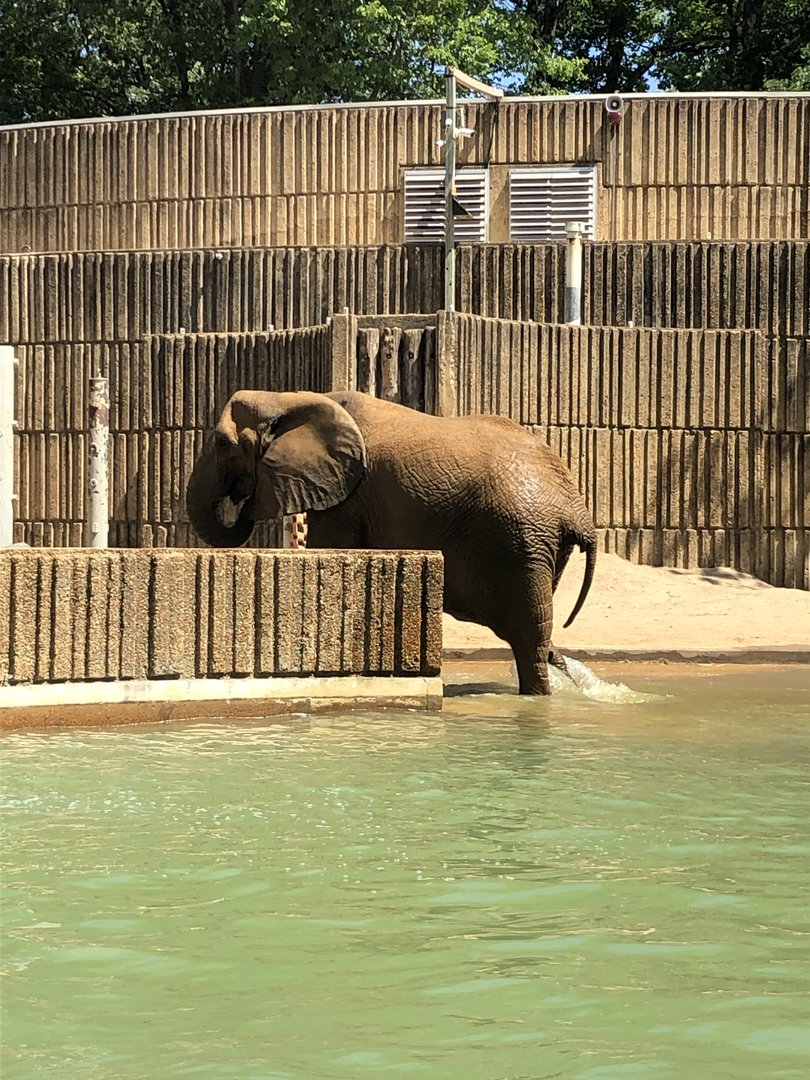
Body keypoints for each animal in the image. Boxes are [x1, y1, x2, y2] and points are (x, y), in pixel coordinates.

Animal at [186, 390, 597, 695]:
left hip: (520, 543)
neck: (288, 399)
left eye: (222, 444)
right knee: (539, 637)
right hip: (537, 549)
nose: (240, 498)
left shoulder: (347, 496)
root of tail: (577, 511)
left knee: (529, 639)